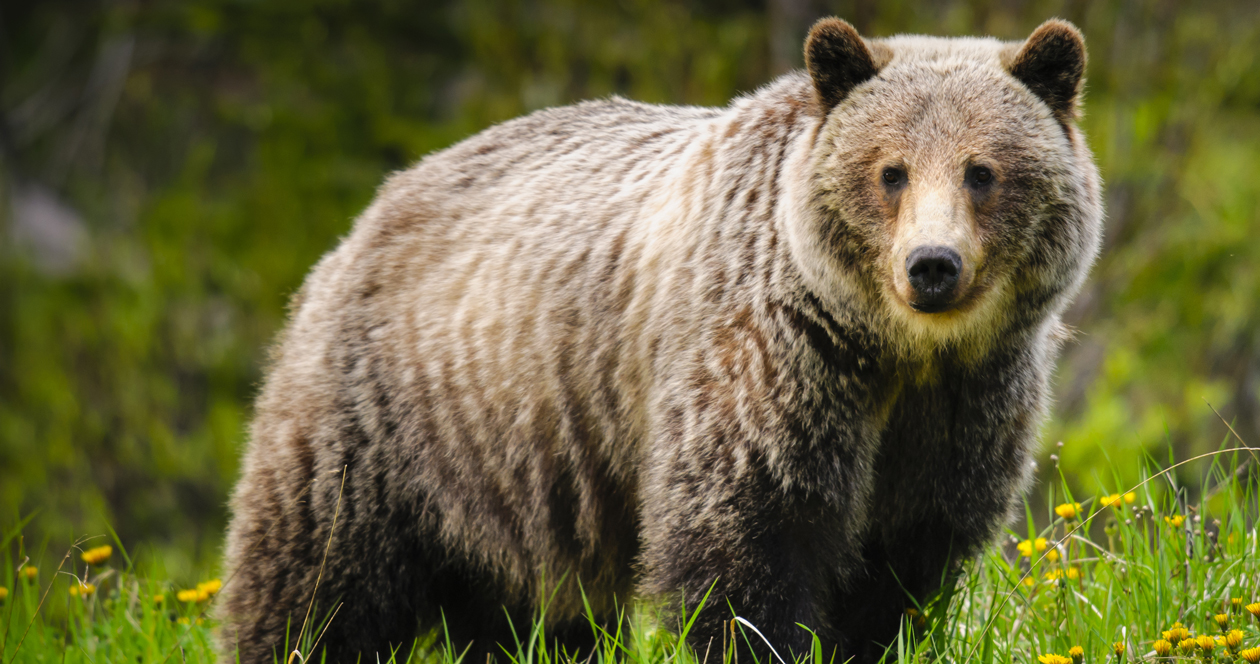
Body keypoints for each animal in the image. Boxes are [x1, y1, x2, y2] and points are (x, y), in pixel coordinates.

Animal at [218, 17, 1102, 664]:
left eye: (982, 171)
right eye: (891, 171)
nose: (932, 266)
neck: (892, 351)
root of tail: (369, 212)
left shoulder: (961, 407)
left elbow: (900, 567)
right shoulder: (768, 366)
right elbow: (745, 550)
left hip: (510, 482)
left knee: (527, 618)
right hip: (387, 422)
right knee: (314, 583)